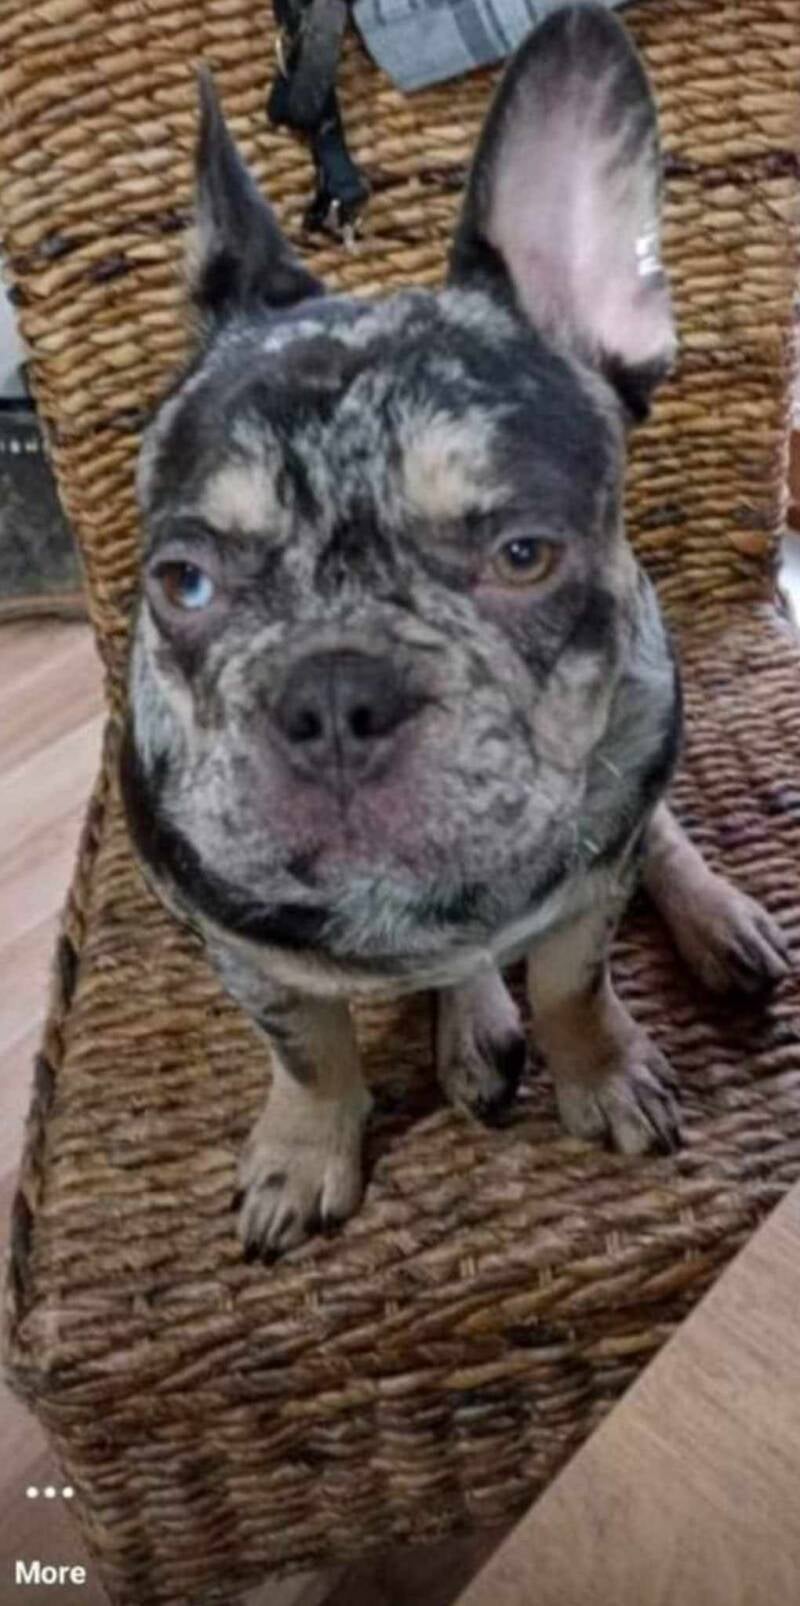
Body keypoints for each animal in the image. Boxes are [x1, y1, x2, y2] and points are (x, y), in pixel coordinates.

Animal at [121, 3, 790, 1260]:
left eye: (521, 555)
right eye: (181, 582)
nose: (334, 698)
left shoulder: (584, 889)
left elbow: (574, 984)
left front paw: (599, 1070)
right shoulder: (240, 951)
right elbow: (307, 1051)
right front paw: (305, 1150)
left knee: (653, 827)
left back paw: (713, 923)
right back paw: (471, 1019)